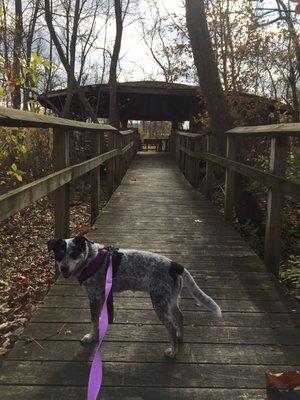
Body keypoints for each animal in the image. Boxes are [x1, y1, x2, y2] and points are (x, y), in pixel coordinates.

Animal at [48, 236, 221, 358]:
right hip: (170, 299)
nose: (63, 268)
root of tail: (174, 265)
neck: (92, 258)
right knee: (180, 316)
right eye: (59, 254)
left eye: (74, 253)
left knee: (171, 327)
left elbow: (93, 320)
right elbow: (98, 319)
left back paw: (173, 351)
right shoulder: (101, 296)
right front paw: (96, 334)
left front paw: (91, 337)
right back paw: (179, 337)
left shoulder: (94, 296)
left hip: (159, 303)